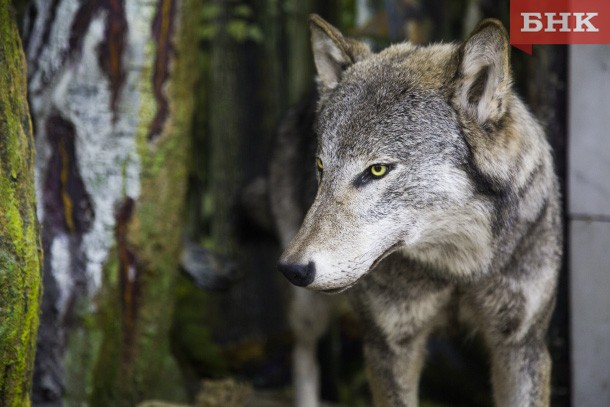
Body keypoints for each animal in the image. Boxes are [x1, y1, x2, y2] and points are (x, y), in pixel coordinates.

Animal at [276, 14, 560, 406]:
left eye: (377, 170)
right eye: (321, 167)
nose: (292, 268)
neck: (458, 270)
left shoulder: (522, 345)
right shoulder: (389, 346)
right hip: (309, 311)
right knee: (303, 352)